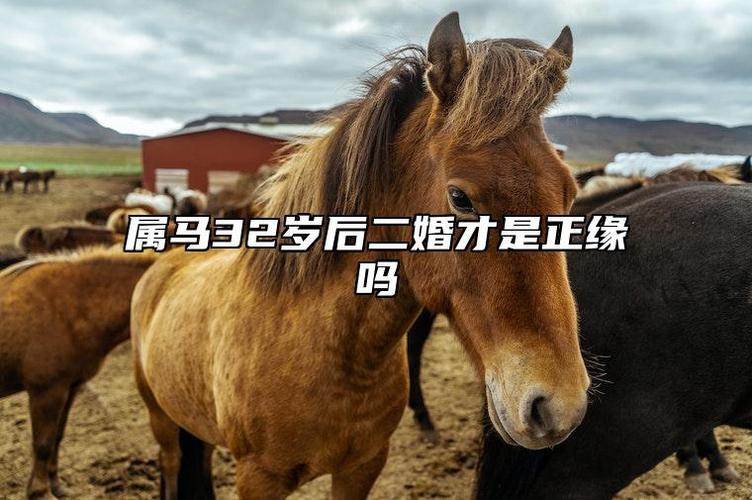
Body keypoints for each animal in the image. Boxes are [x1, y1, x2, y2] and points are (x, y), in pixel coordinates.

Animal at [0, 246, 158, 499]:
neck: (72, 307)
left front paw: (56, 486)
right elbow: (42, 444)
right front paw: (40, 492)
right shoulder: (46, 392)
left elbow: (57, 436)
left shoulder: (70, 387)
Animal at [131, 13, 590, 499]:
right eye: (460, 198)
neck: (332, 353)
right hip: (159, 417)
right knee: (172, 461)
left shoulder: (362, 467)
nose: (558, 407)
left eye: (569, 191)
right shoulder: (259, 479)